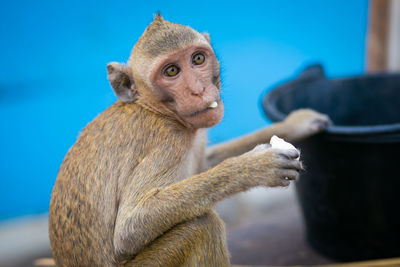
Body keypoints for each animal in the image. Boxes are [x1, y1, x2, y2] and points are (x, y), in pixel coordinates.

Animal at [49, 15, 332, 267]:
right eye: (171, 71)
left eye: (198, 59)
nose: (199, 89)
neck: (155, 109)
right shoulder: (167, 141)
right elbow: (130, 227)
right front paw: (257, 167)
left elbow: (204, 161)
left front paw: (294, 124)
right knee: (202, 226)